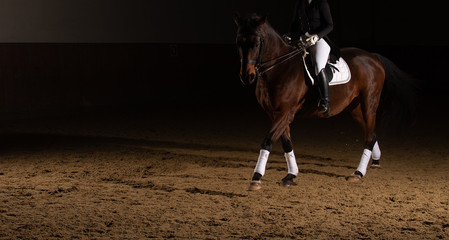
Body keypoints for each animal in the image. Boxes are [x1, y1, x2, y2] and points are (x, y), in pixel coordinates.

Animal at [234, 13, 416, 191]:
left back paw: (358, 173)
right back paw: (375, 162)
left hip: (369, 103)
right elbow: (286, 143)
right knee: (370, 132)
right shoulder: (275, 114)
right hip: (355, 108)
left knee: (370, 136)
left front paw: (256, 178)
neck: (280, 67)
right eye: (238, 42)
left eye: (256, 43)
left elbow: (268, 141)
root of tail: (372, 56)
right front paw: (291, 175)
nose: (246, 76)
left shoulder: (286, 112)